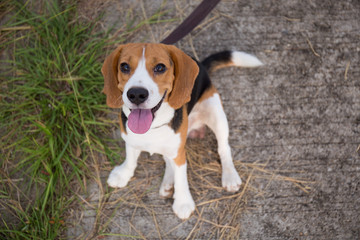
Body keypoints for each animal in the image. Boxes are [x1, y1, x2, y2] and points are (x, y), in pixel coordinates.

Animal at [101, 42, 262, 218]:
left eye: (160, 67)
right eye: (124, 66)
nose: (136, 94)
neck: (153, 126)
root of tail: (202, 66)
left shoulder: (179, 152)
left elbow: (181, 177)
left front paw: (183, 202)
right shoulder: (131, 139)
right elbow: (130, 159)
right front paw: (123, 174)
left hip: (216, 113)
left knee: (223, 148)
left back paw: (230, 176)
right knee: (168, 159)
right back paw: (167, 183)